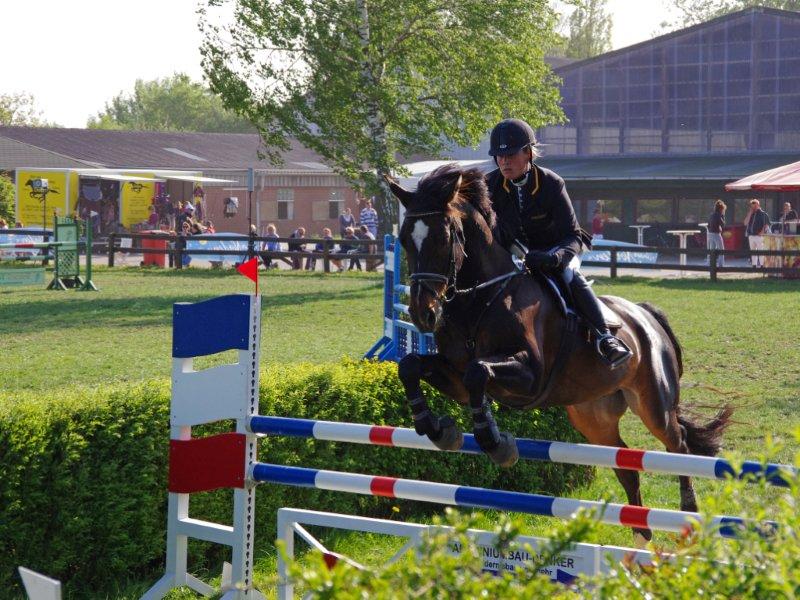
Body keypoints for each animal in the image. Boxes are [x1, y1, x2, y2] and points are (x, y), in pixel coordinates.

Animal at [386, 164, 732, 546]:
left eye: (445, 237)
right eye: (405, 239)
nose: (423, 314)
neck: (482, 298)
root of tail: (645, 313)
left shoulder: (528, 375)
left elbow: (479, 371)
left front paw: (495, 443)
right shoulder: (456, 378)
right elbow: (411, 366)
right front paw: (436, 429)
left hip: (653, 402)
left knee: (678, 444)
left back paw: (688, 514)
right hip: (592, 416)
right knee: (627, 467)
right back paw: (642, 534)